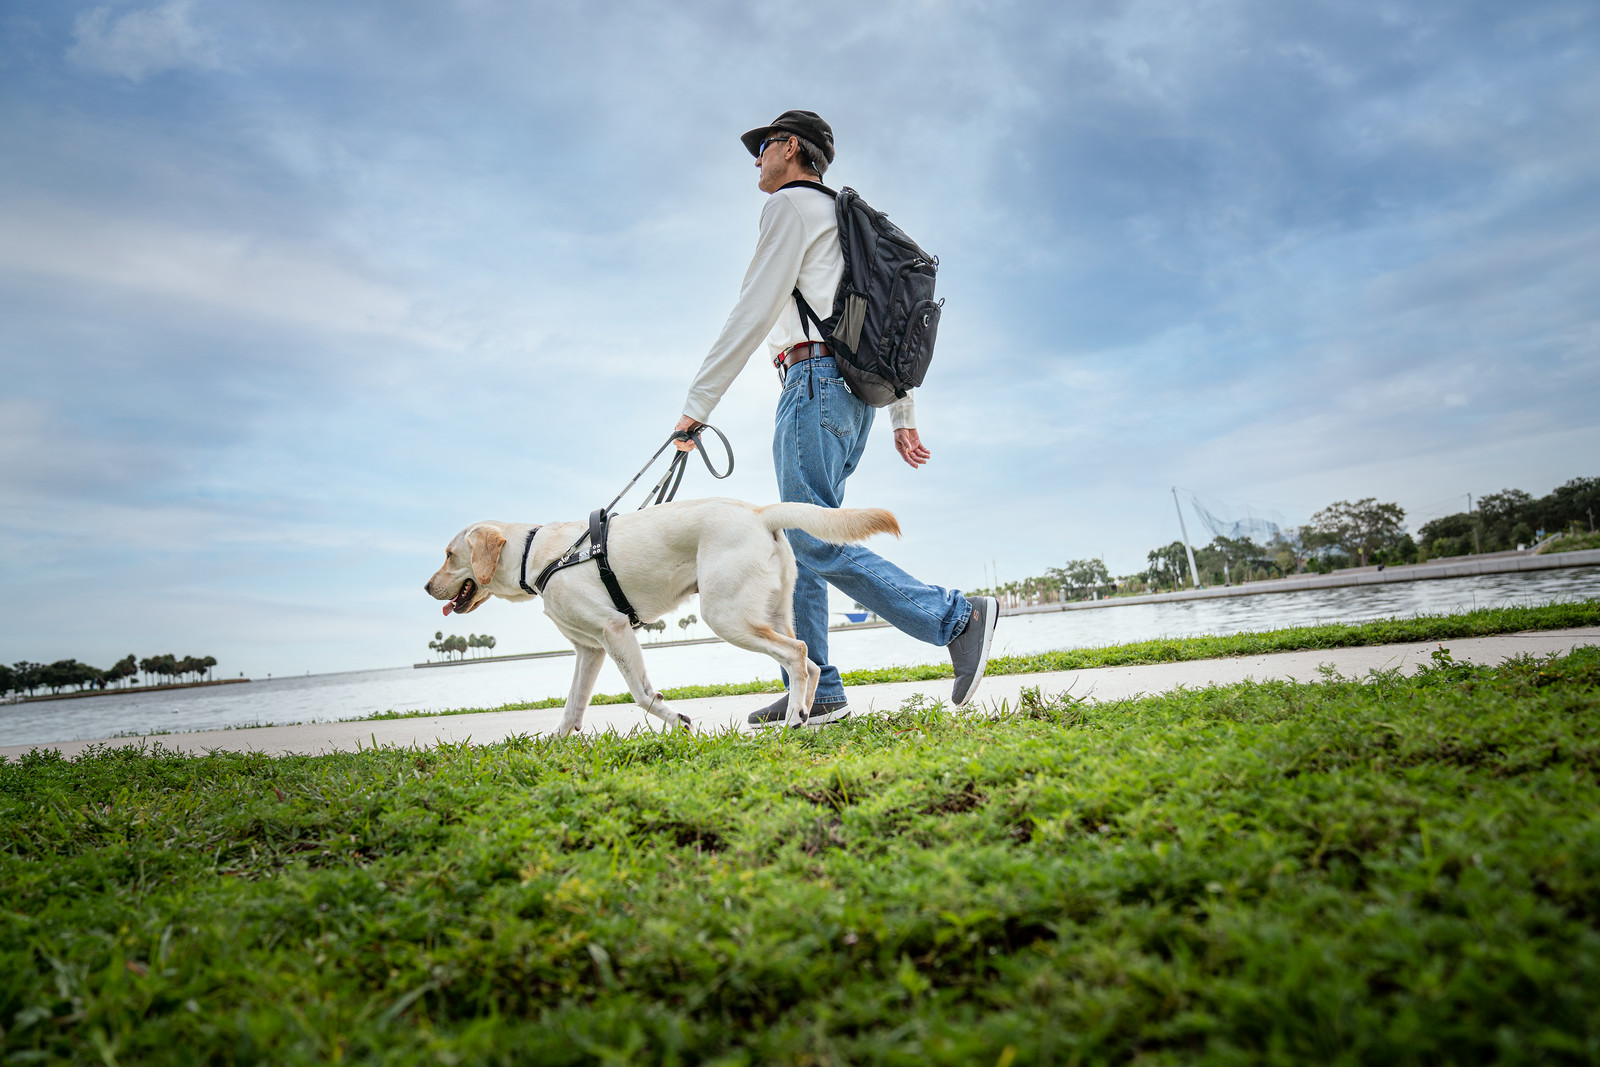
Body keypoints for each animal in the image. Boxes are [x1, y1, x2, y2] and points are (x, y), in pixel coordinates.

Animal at [425, 499, 902, 735]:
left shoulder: (615, 630)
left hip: (725, 616)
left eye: (448, 555)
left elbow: (641, 694)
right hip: (772, 610)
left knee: (798, 654)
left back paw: (791, 724)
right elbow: (572, 704)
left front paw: (679, 721)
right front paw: (555, 745)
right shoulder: (589, 649)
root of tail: (758, 512)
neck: (535, 555)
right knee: (813, 662)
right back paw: (803, 716)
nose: (427, 588)